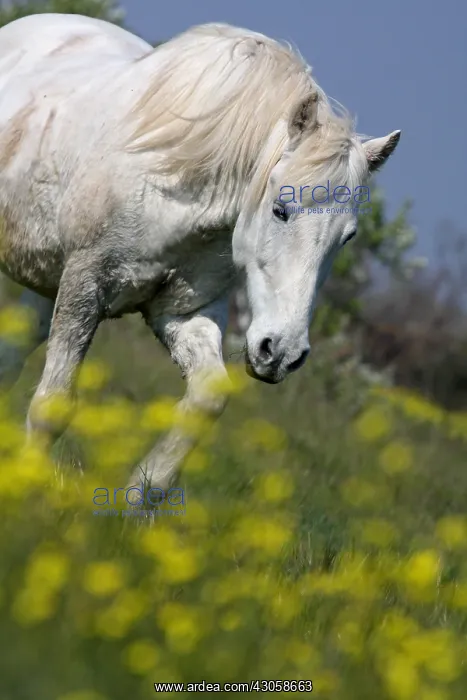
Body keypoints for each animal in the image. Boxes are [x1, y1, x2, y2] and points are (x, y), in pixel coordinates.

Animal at [0, 14, 401, 490]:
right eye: (280, 210)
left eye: (348, 237)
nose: (283, 352)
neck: (175, 186)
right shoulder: (84, 287)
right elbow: (52, 406)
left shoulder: (184, 313)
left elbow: (208, 400)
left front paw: (141, 495)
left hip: (44, 289)